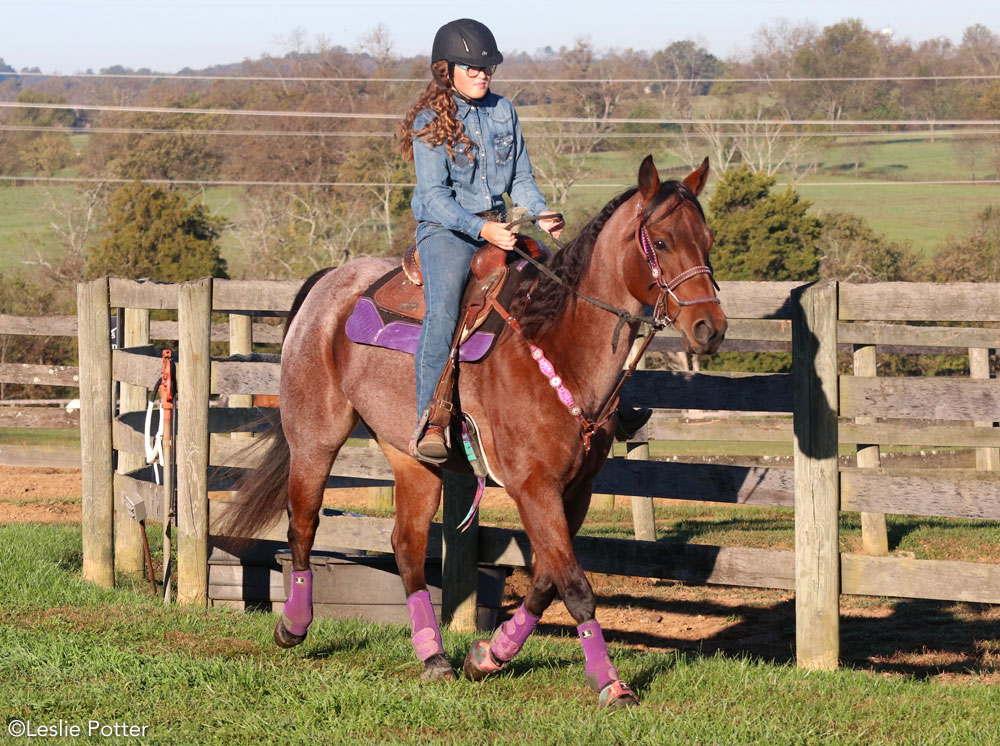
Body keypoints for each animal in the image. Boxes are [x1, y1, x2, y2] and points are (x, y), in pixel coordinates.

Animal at [219, 154, 728, 708]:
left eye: (707, 239)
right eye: (662, 241)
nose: (710, 328)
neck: (557, 344)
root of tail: (330, 281)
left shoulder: (576, 491)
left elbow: (547, 581)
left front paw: (486, 657)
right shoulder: (533, 488)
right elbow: (575, 587)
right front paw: (611, 684)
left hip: (412, 458)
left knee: (407, 545)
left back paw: (434, 656)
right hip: (315, 439)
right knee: (303, 525)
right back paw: (292, 626)